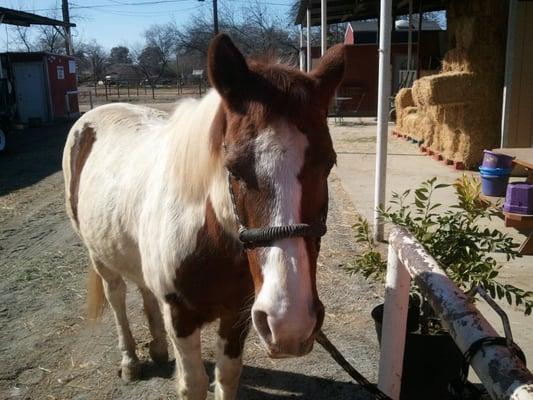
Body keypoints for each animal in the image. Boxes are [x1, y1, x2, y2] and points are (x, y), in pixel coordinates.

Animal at [62, 35, 344, 400]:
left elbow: (227, 375)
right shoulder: (180, 316)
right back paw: (130, 361)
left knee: (143, 289)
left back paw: (157, 349)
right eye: (233, 168)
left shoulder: (237, 316)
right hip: (99, 256)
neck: (209, 241)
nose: (289, 323)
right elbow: (193, 383)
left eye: (329, 163)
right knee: (117, 297)